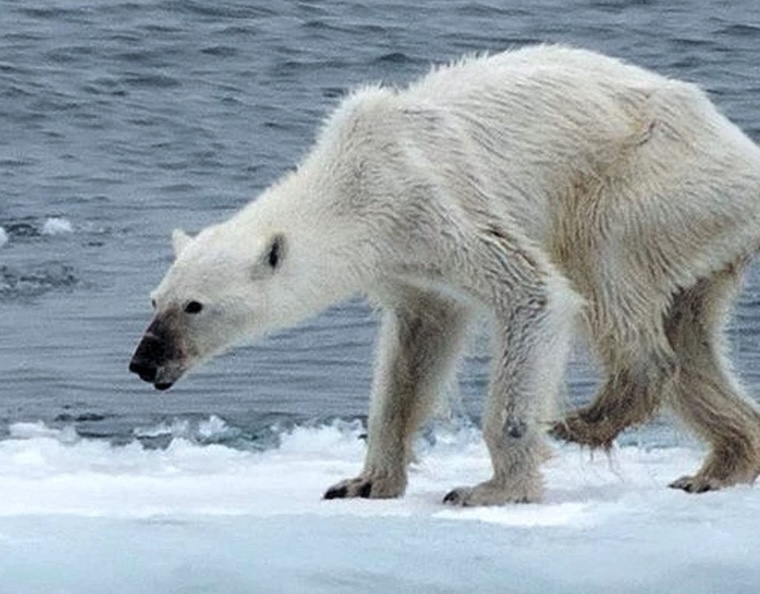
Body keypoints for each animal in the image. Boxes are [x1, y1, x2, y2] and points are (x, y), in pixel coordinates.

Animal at [130, 44, 760, 505]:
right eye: (155, 300)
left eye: (194, 306)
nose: (143, 362)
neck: (354, 180)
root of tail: (739, 148)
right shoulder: (405, 265)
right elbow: (414, 352)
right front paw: (362, 482)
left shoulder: (434, 202)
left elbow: (533, 292)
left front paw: (492, 488)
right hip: (703, 234)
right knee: (691, 337)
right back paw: (718, 465)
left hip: (651, 183)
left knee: (605, 266)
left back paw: (588, 419)